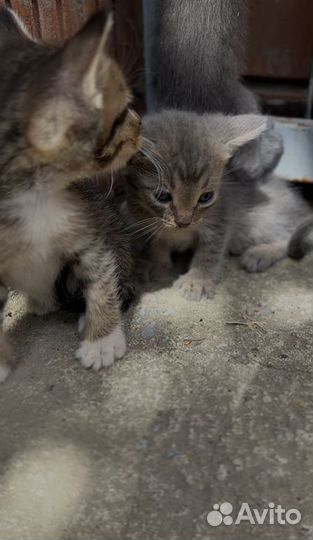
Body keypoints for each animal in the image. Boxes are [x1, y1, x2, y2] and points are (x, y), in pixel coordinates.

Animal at [0, 6, 140, 382]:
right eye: (123, 111)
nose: (140, 122)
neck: (31, 195)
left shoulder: (90, 233)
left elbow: (101, 281)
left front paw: (102, 340)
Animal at [125, 110, 310, 300]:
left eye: (206, 197)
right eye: (162, 196)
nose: (184, 222)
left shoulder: (220, 221)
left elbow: (210, 253)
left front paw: (197, 280)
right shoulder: (147, 221)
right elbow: (156, 243)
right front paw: (156, 264)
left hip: (266, 218)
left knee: (289, 235)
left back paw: (260, 253)